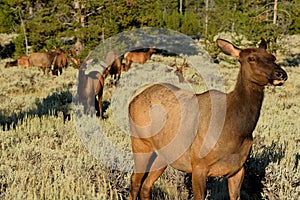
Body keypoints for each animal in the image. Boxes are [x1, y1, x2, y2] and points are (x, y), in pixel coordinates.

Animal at [127, 38, 288, 199]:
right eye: (251, 58)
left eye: (272, 57)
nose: (281, 74)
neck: (237, 130)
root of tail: (132, 101)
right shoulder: (198, 165)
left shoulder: (238, 169)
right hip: (141, 143)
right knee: (135, 181)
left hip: (163, 155)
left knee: (146, 186)